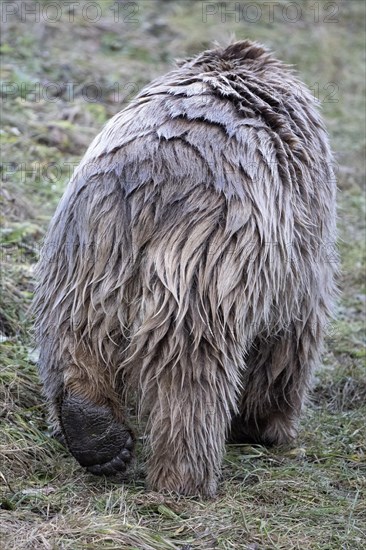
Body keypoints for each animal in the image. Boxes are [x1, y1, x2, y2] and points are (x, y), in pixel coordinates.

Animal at [33, 42, 338, 500]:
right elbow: (290, 336)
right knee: (188, 370)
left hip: (86, 246)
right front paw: (265, 425)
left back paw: (95, 433)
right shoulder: (298, 248)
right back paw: (184, 479)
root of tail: (151, 176)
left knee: (74, 329)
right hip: (206, 262)